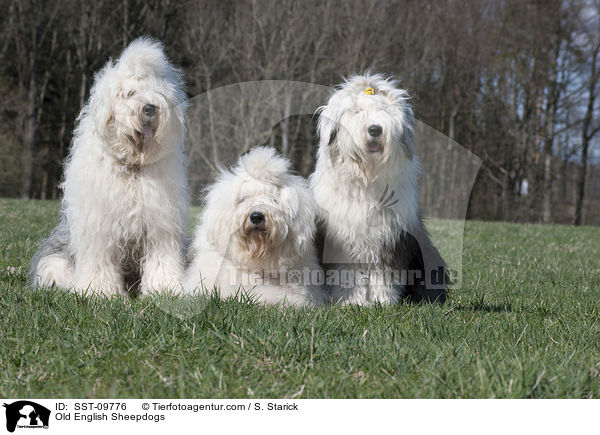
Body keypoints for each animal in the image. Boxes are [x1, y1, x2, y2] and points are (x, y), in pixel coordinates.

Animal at [28, 37, 186, 296]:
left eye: (158, 93)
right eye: (130, 93)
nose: (150, 108)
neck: (132, 167)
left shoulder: (160, 224)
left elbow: (161, 258)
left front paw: (166, 289)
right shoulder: (98, 227)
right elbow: (99, 260)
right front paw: (101, 292)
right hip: (54, 262)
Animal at [310, 73, 446, 304]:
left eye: (384, 111)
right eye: (357, 111)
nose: (375, 129)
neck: (367, 179)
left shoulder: (391, 237)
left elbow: (385, 273)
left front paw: (382, 302)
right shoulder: (341, 240)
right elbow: (348, 274)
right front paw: (352, 302)